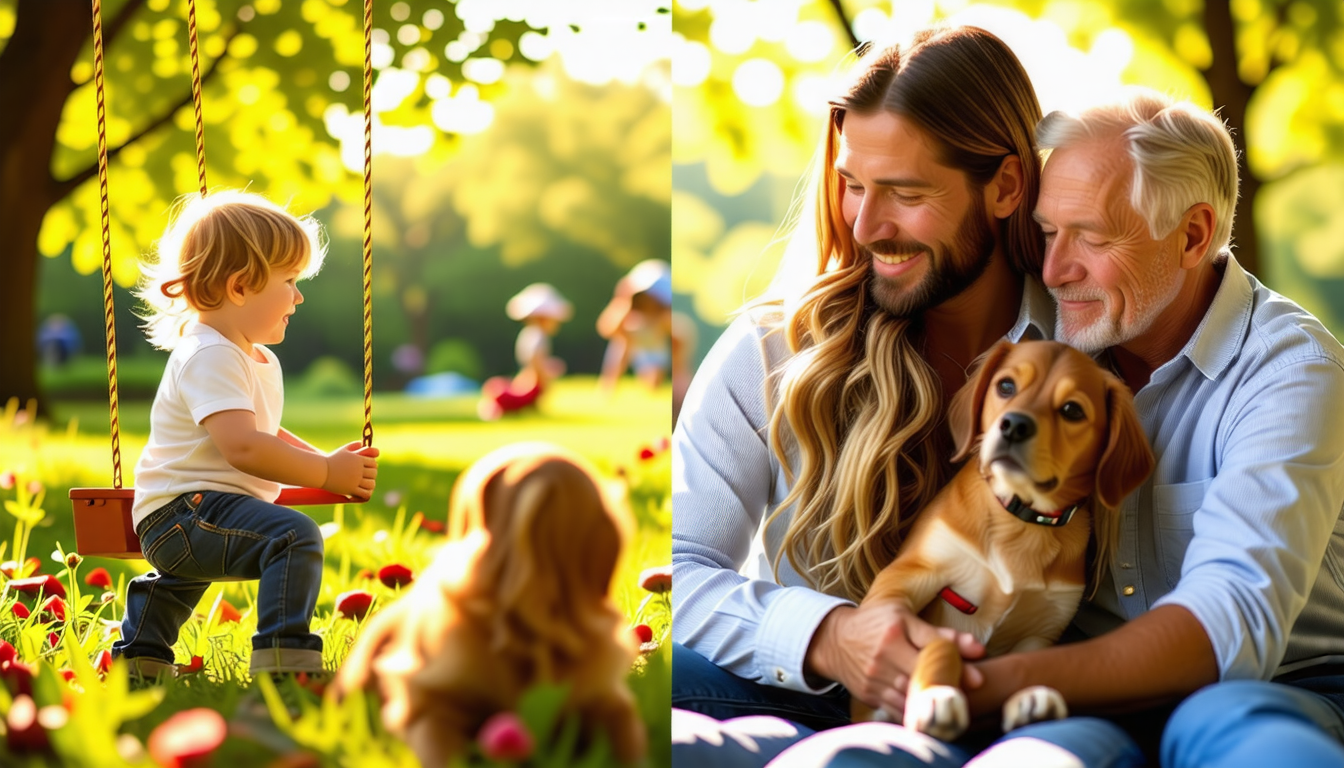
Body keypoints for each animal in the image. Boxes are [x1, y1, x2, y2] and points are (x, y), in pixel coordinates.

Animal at [854, 341, 1150, 737]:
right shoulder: (907, 575)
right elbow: (940, 642)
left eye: (1072, 410)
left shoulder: (1045, 626)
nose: (1014, 425)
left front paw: (1031, 697)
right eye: (1006, 386)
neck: (1022, 520)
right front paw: (936, 694)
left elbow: (1029, 664)